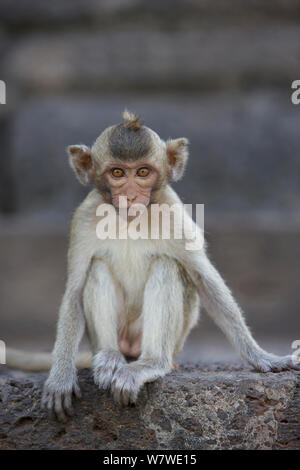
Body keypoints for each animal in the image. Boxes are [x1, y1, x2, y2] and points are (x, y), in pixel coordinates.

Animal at [3, 110, 298, 422]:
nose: (131, 196)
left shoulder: (174, 212)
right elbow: (74, 290)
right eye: (118, 173)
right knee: (98, 268)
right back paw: (109, 358)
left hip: (172, 341)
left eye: (143, 172)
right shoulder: (83, 218)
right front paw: (60, 377)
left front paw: (262, 357)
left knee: (166, 266)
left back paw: (150, 364)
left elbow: (204, 279)